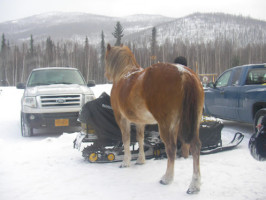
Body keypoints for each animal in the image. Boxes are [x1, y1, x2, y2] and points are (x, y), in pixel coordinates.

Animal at [104, 44, 204, 194]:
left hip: (166, 125)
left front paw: (126, 162)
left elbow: (126, 139)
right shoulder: (140, 121)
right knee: (195, 147)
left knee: (171, 148)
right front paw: (140, 160)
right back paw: (194, 185)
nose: (106, 75)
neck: (124, 74)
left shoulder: (121, 118)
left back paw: (167, 178)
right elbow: (140, 138)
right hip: (191, 123)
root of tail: (184, 73)